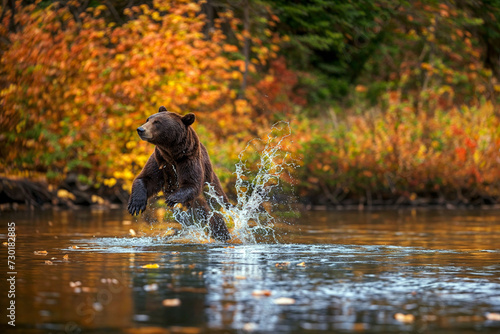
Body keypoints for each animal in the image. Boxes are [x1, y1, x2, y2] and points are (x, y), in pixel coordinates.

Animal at [128, 106, 231, 240]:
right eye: (148, 119)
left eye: (157, 122)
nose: (140, 129)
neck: (171, 154)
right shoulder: (160, 161)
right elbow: (147, 178)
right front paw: (135, 205)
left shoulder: (189, 159)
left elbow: (192, 184)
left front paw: (172, 198)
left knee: (213, 214)